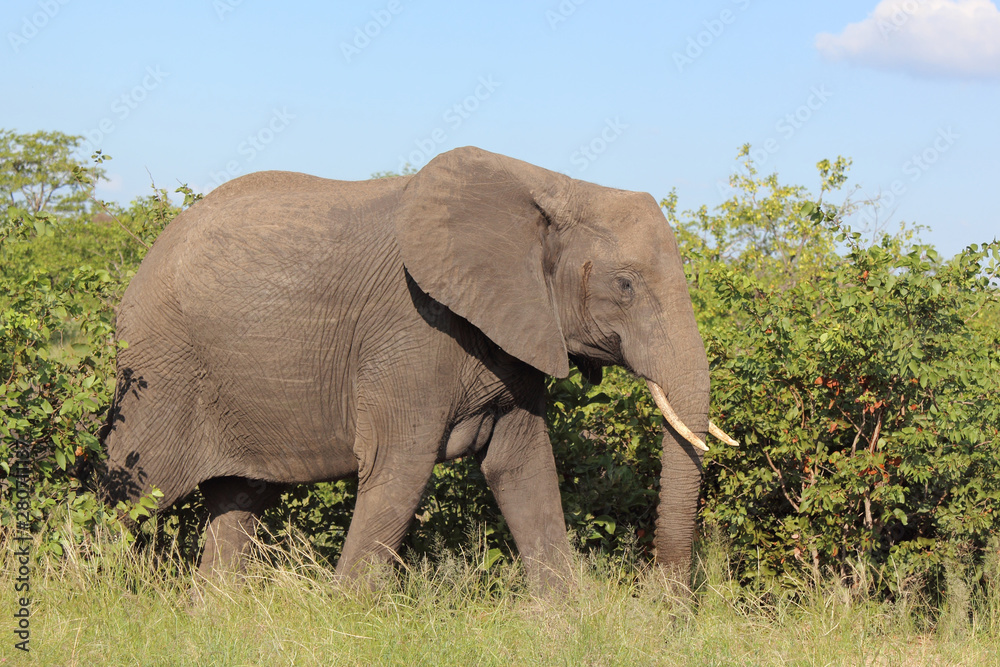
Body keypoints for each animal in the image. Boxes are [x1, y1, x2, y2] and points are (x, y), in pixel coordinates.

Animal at [99, 145, 736, 584]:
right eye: (625, 286)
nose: (664, 604)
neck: (554, 186)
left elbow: (522, 468)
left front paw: (571, 624)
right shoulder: (410, 334)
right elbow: (398, 469)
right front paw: (343, 621)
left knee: (238, 502)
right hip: (159, 371)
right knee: (127, 493)